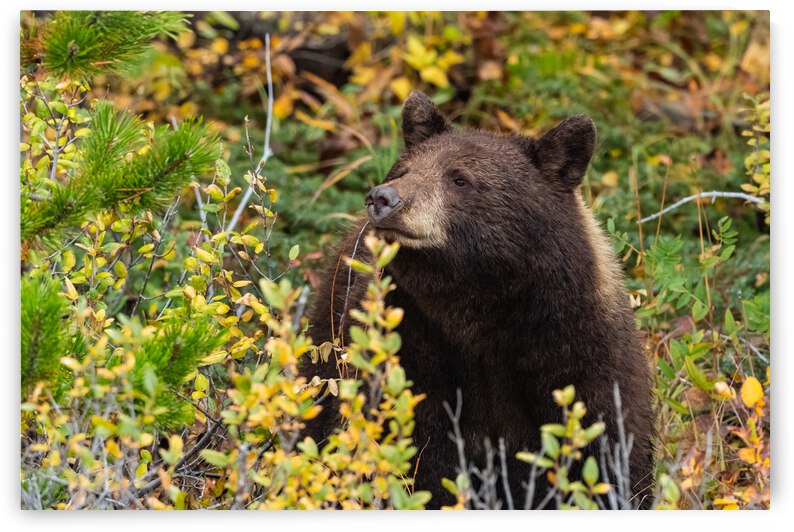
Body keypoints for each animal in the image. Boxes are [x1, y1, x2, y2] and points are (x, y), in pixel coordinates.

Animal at [300, 90, 655, 509]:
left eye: (460, 178)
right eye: (402, 169)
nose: (383, 198)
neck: (479, 312)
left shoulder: (580, 353)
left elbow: (607, 451)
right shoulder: (408, 347)